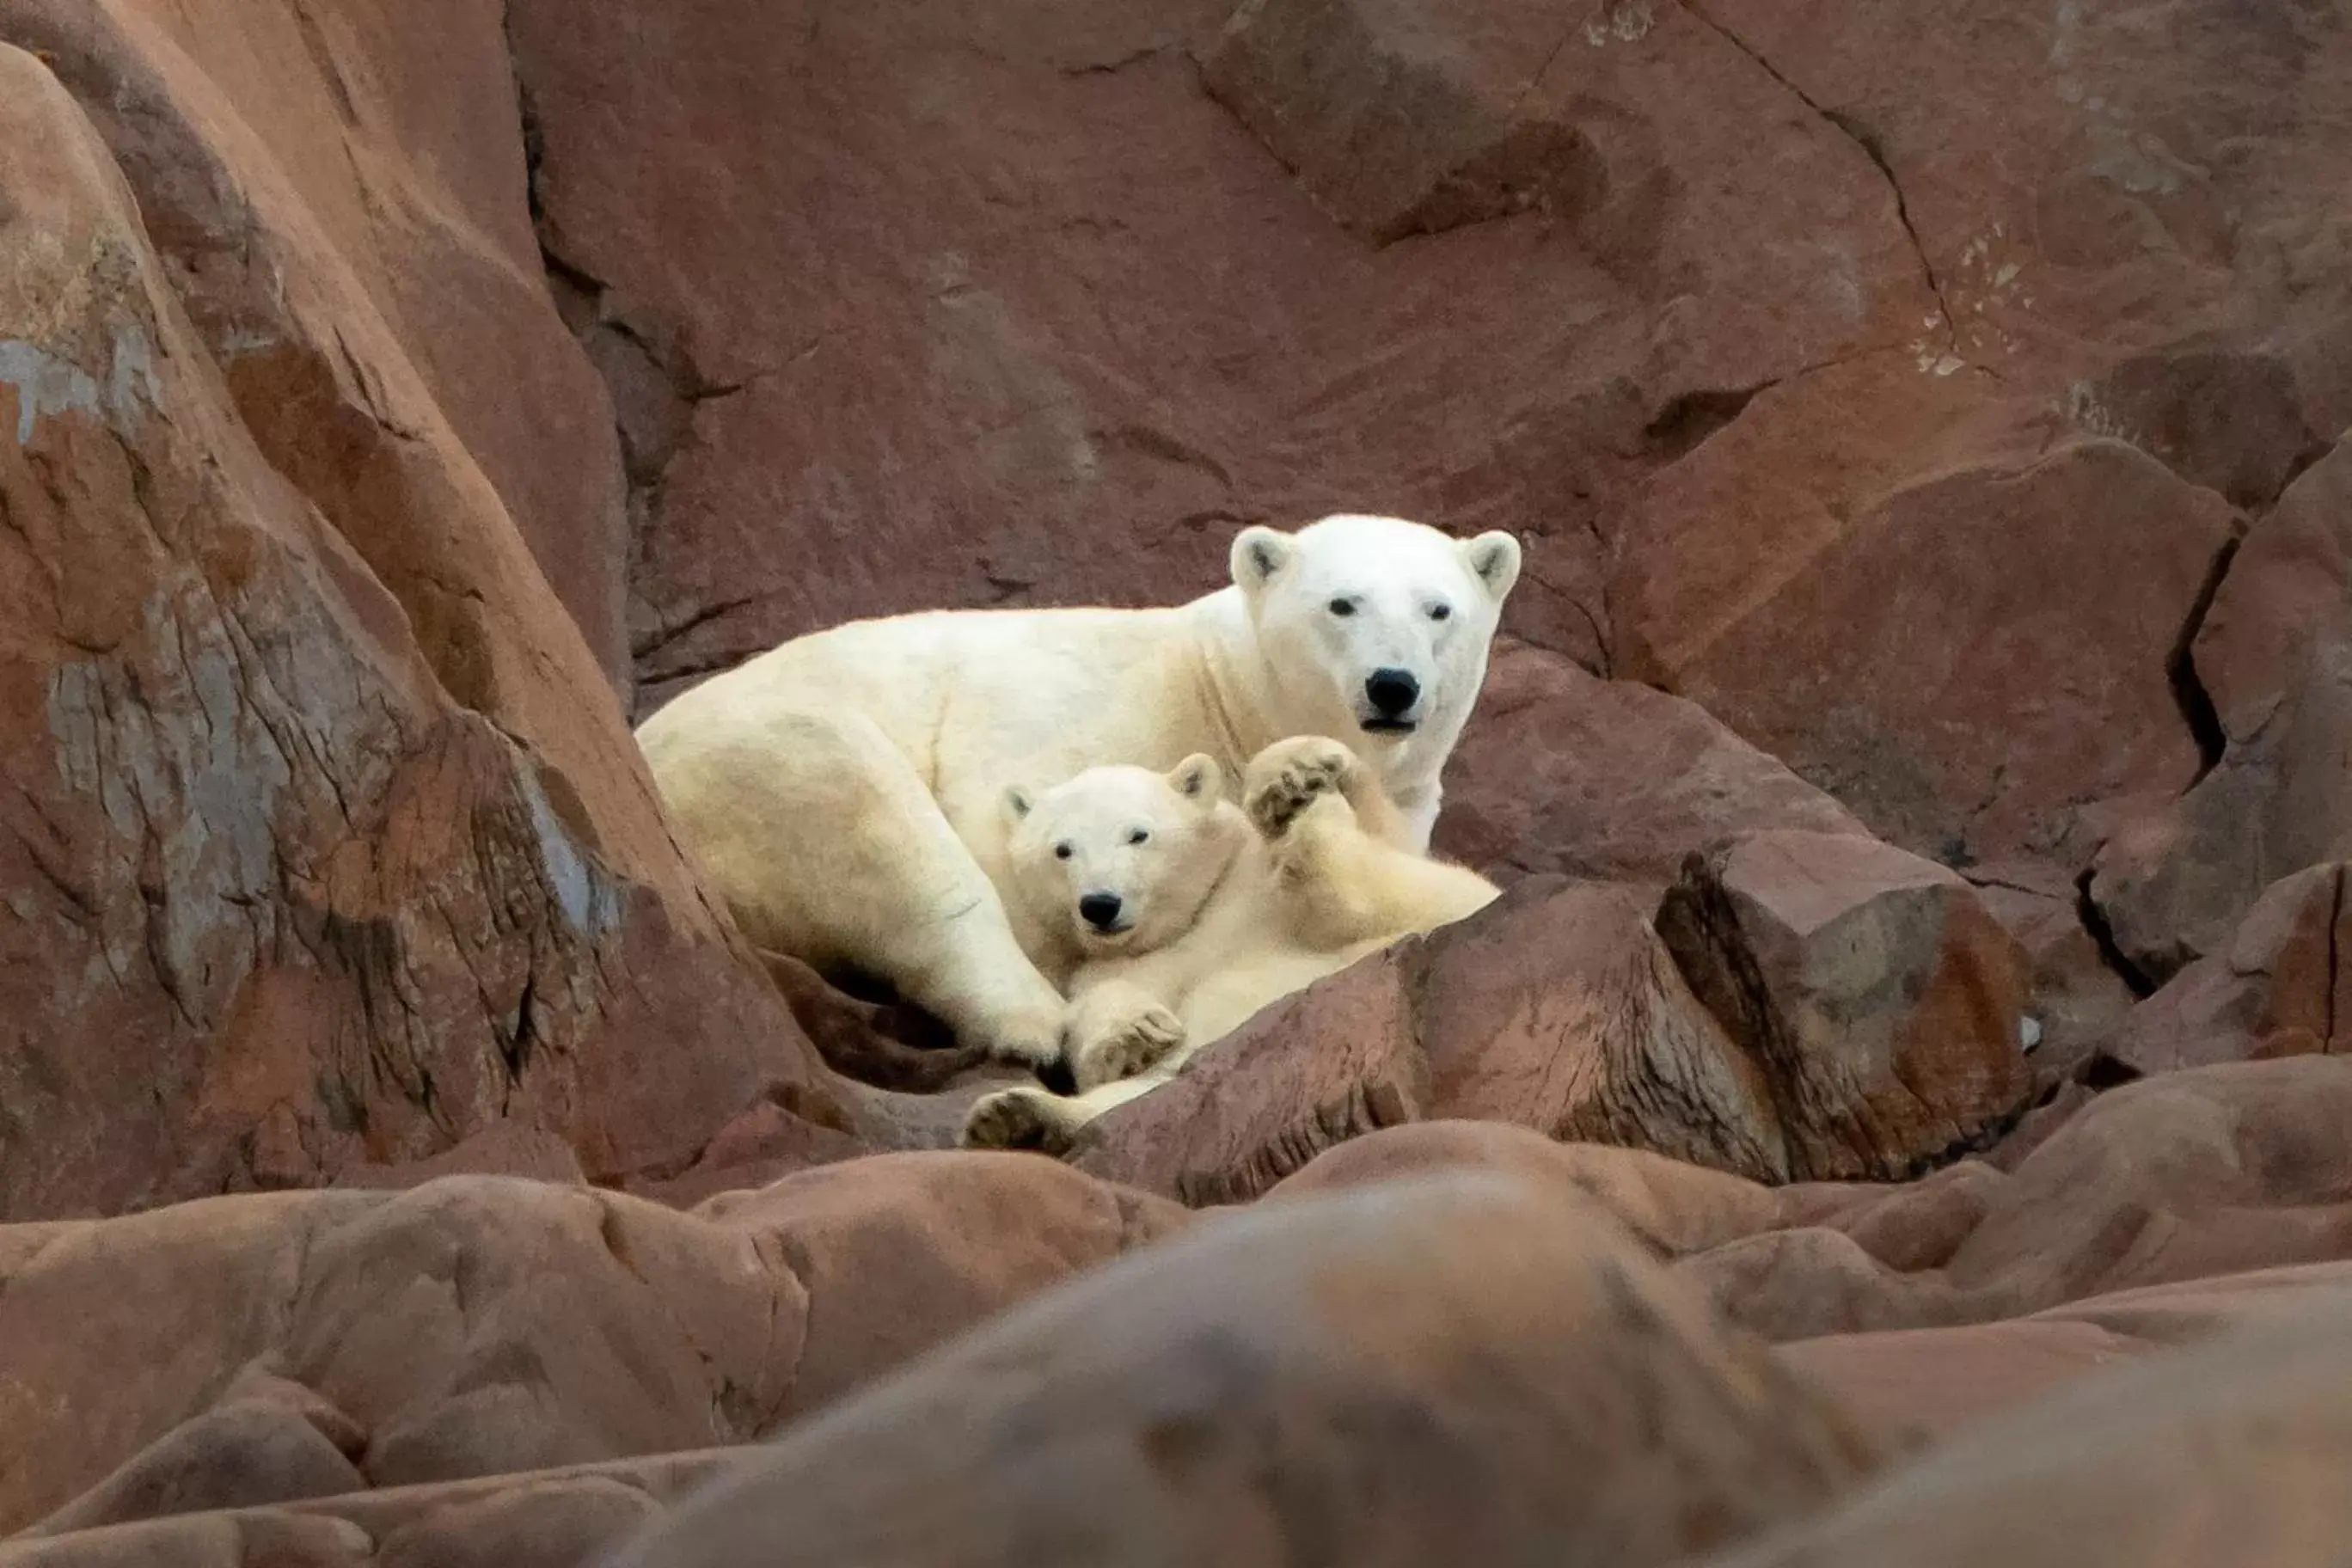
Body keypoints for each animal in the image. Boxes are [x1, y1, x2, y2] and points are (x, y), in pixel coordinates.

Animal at [634, 514, 1514, 1067]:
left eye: (1439, 610)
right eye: (1342, 603)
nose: (1393, 685)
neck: (1224, 690)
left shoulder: (1403, 801)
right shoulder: (1093, 714)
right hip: (747, 757)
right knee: (872, 815)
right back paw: (1027, 1022)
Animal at [959, 738, 1496, 1151]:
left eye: (1138, 835)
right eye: (1062, 849)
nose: (1100, 904)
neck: (1198, 914)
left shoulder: (1250, 877)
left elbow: (1389, 830)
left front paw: (1300, 772)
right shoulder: (1122, 964)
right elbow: (1100, 1029)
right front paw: (1133, 1038)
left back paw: (1310, 830)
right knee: (1138, 1100)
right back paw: (1013, 1118)